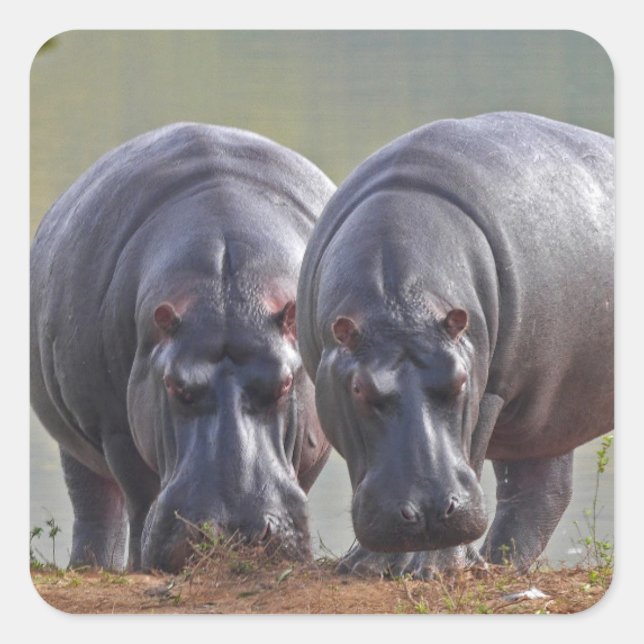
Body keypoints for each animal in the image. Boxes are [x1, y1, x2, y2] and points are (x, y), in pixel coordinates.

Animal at [30, 123, 335, 572]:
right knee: (97, 509)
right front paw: (140, 566)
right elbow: (140, 496)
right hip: (79, 445)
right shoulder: (116, 430)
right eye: (174, 384)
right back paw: (94, 567)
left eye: (285, 383)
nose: (233, 533)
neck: (227, 292)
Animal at [296, 112, 613, 577]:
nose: (429, 512)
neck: (400, 303)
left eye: (460, 379)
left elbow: (475, 452)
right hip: (545, 406)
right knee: (541, 489)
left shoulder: (491, 390)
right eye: (358, 388)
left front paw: (434, 569)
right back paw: (499, 565)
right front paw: (365, 566)